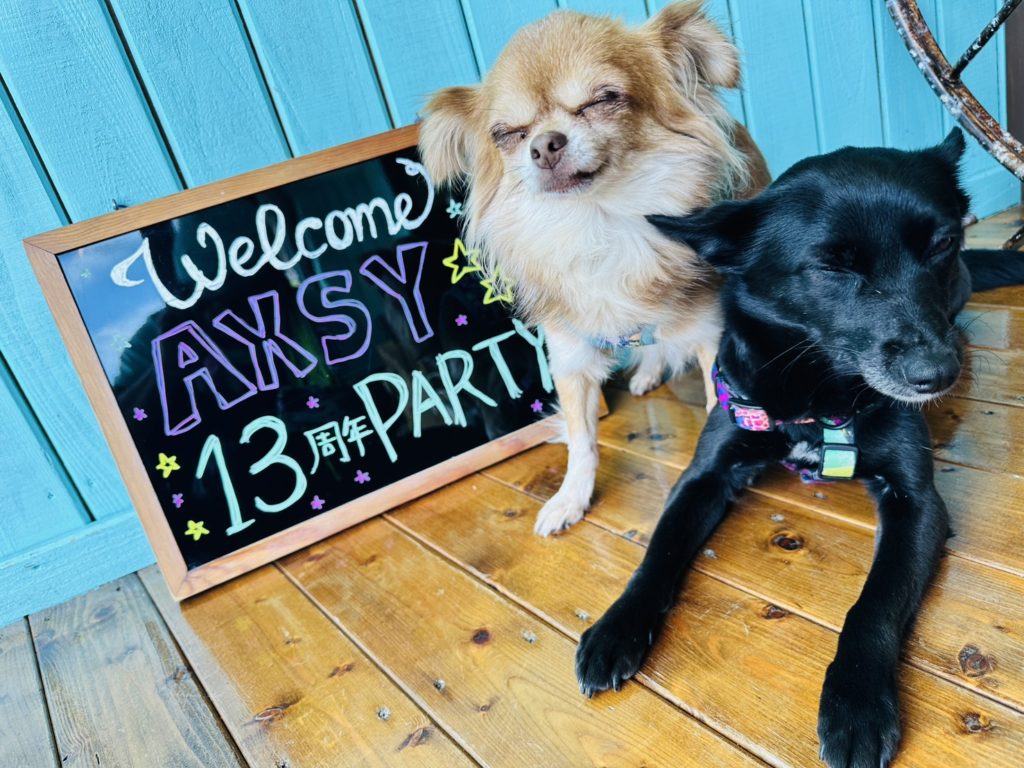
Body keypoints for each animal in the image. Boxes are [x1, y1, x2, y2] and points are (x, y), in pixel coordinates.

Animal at [419, 1, 770, 535]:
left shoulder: (713, 341)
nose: (543, 145)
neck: (599, 228)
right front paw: (571, 499)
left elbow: (715, 409)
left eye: (602, 100)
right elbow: (581, 441)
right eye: (508, 135)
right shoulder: (569, 359)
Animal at [574, 128, 1024, 768]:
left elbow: (875, 602)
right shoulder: (704, 474)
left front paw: (856, 702)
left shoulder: (917, 500)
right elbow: (658, 551)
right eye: (832, 266)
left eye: (941, 243)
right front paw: (617, 626)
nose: (937, 374)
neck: (817, 389)